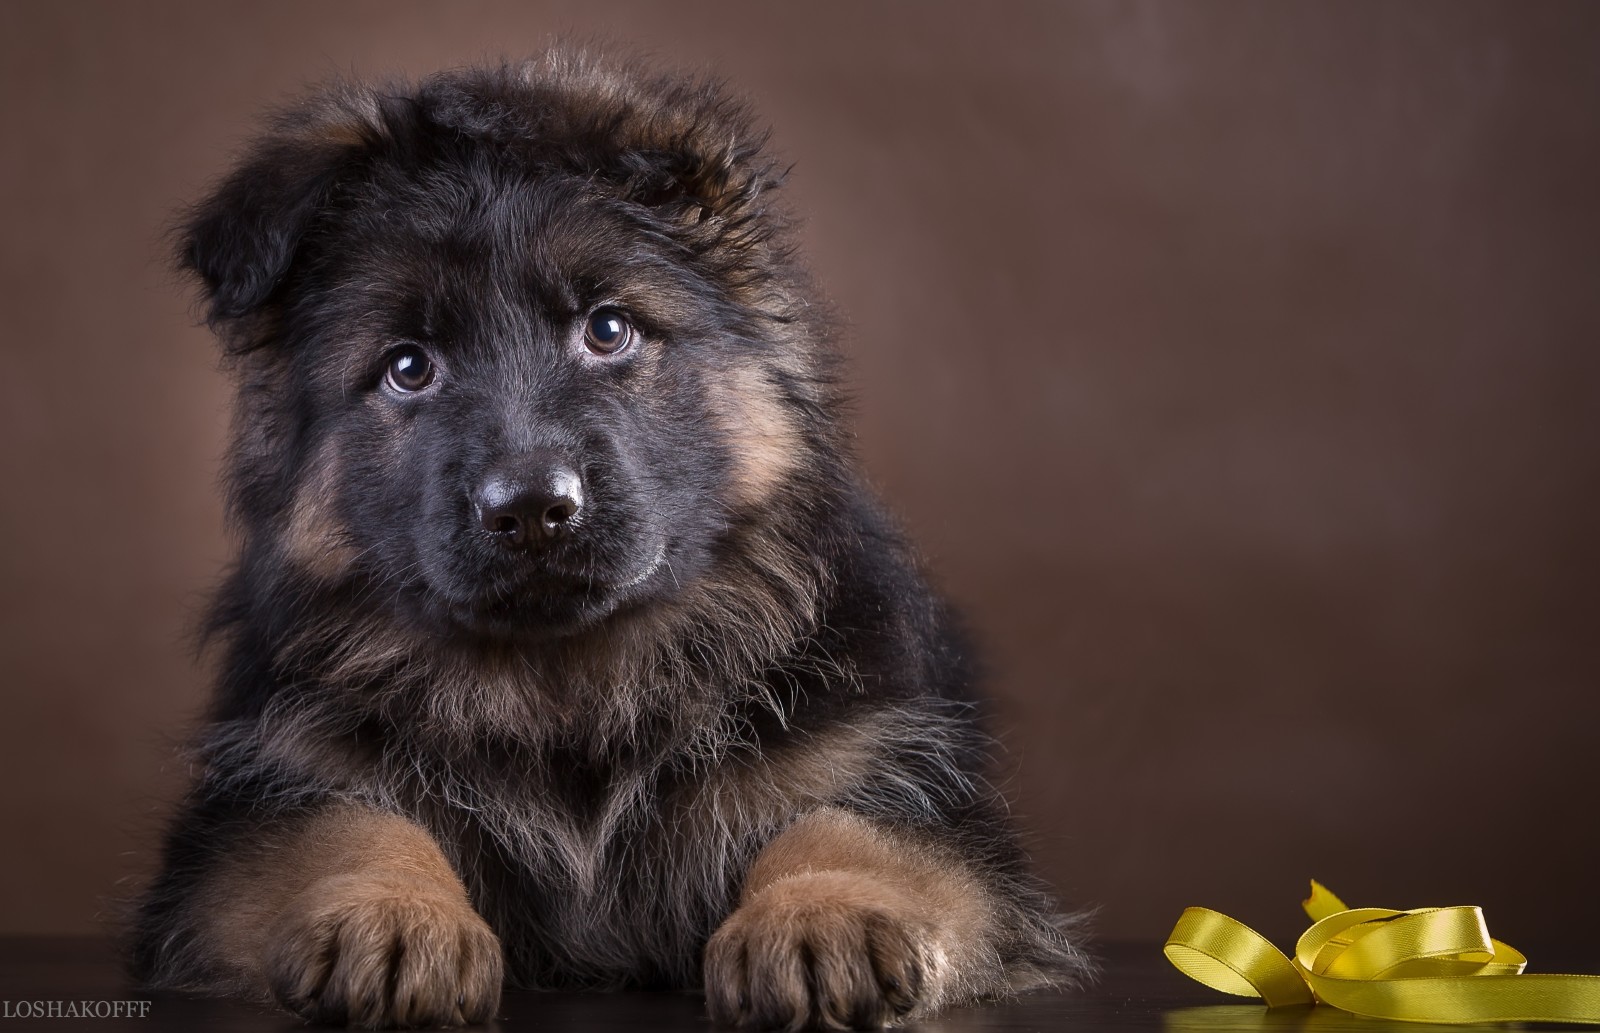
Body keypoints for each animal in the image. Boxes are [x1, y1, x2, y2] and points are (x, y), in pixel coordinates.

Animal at [131, 52, 1094, 1029]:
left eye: (607, 328)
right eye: (407, 367)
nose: (531, 509)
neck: (573, 693)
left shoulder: (906, 785)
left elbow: (843, 824)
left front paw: (825, 912)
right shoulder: (257, 811)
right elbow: (348, 824)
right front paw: (387, 911)